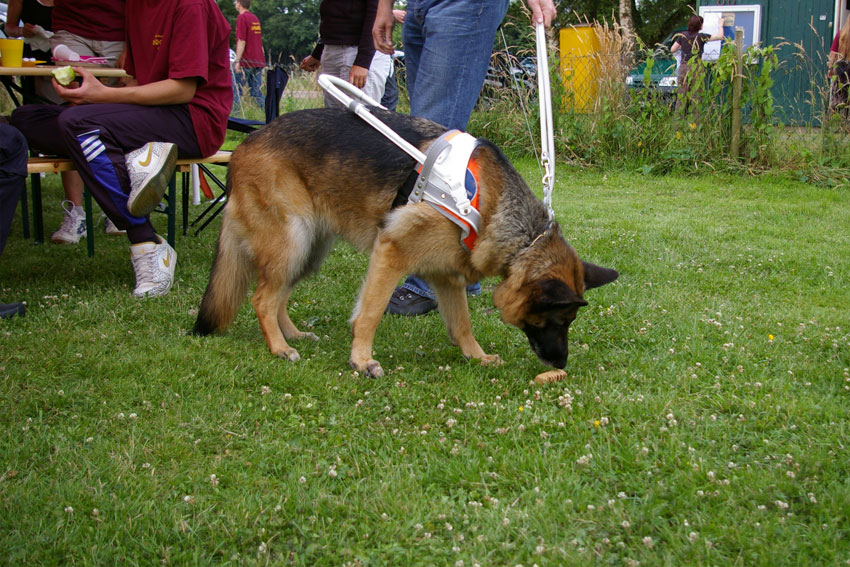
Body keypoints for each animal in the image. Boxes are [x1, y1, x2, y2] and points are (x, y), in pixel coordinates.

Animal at [192, 108, 616, 380]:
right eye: (559, 319)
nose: (561, 365)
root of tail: (243, 145)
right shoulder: (391, 253)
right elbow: (369, 313)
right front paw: (361, 361)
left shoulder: (447, 277)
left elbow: (462, 325)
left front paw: (476, 357)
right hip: (292, 241)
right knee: (262, 297)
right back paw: (279, 347)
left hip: (309, 249)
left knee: (277, 294)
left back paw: (291, 335)